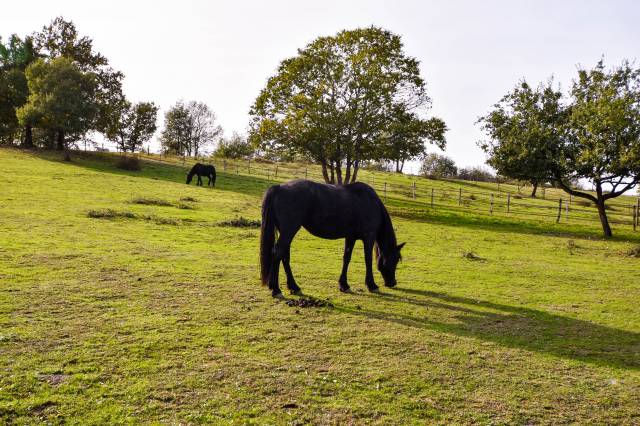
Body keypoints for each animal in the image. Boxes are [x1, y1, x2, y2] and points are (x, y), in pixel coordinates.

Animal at [260, 179, 404, 296]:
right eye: (396, 259)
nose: (393, 282)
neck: (371, 203)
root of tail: (279, 187)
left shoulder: (351, 237)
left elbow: (346, 258)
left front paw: (344, 285)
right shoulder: (369, 237)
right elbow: (368, 260)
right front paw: (372, 285)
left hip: (286, 232)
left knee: (284, 256)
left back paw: (293, 287)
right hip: (289, 231)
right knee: (278, 254)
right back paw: (276, 289)